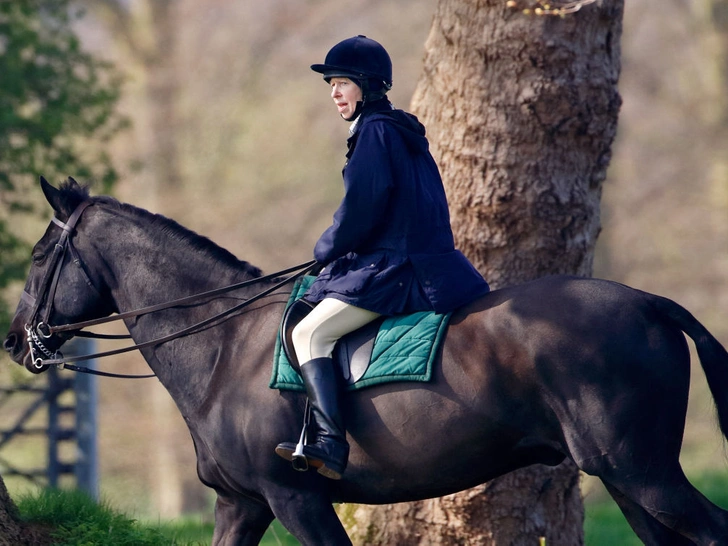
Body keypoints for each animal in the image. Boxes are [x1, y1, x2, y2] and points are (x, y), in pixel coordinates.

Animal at [4, 177, 728, 540]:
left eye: (39, 256)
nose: (14, 341)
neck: (221, 347)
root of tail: (650, 303)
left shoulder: (294, 498)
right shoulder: (242, 505)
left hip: (641, 472)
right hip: (625, 480)